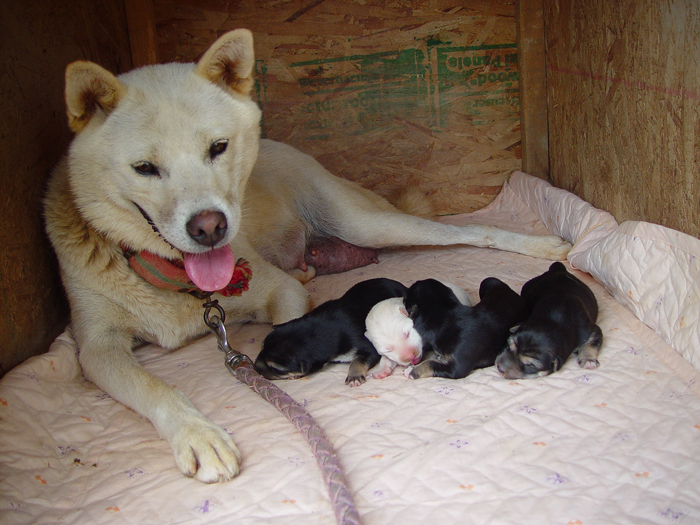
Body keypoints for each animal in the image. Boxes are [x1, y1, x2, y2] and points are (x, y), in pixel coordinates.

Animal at [254, 278, 408, 384]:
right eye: (260, 348)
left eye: (276, 368)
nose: (255, 367)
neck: (316, 330)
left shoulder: (368, 347)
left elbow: (357, 360)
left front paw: (354, 376)